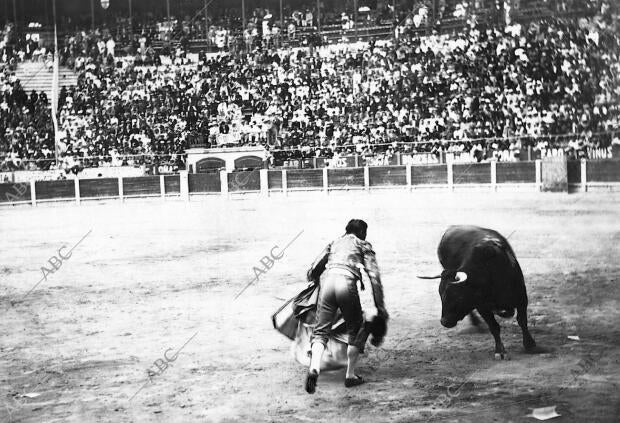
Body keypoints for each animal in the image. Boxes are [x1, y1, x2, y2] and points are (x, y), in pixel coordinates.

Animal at [422, 227, 536, 360]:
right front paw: (500, 351)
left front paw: (530, 345)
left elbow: (522, 321)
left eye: (458, 297)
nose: (444, 321)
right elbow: (494, 327)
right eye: (441, 296)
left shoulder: (522, 298)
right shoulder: (482, 306)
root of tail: (452, 228)